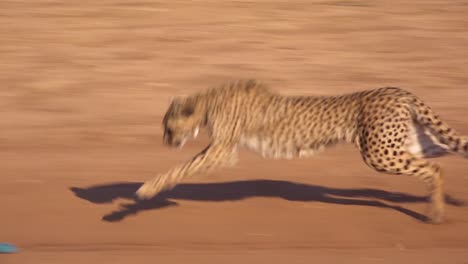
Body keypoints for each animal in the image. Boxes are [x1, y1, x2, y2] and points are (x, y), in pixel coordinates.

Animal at [135, 78, 468, 223]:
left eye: (168, 127)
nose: (166, 141)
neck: (206, 102)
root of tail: (398, 90)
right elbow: (183, 167)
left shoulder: (222, 151)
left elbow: (180, 168)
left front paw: (146, 190)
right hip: (409, 142)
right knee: (444, 158)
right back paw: (440, 204)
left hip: (379, 153)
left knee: (433, 168)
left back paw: (437, 213)